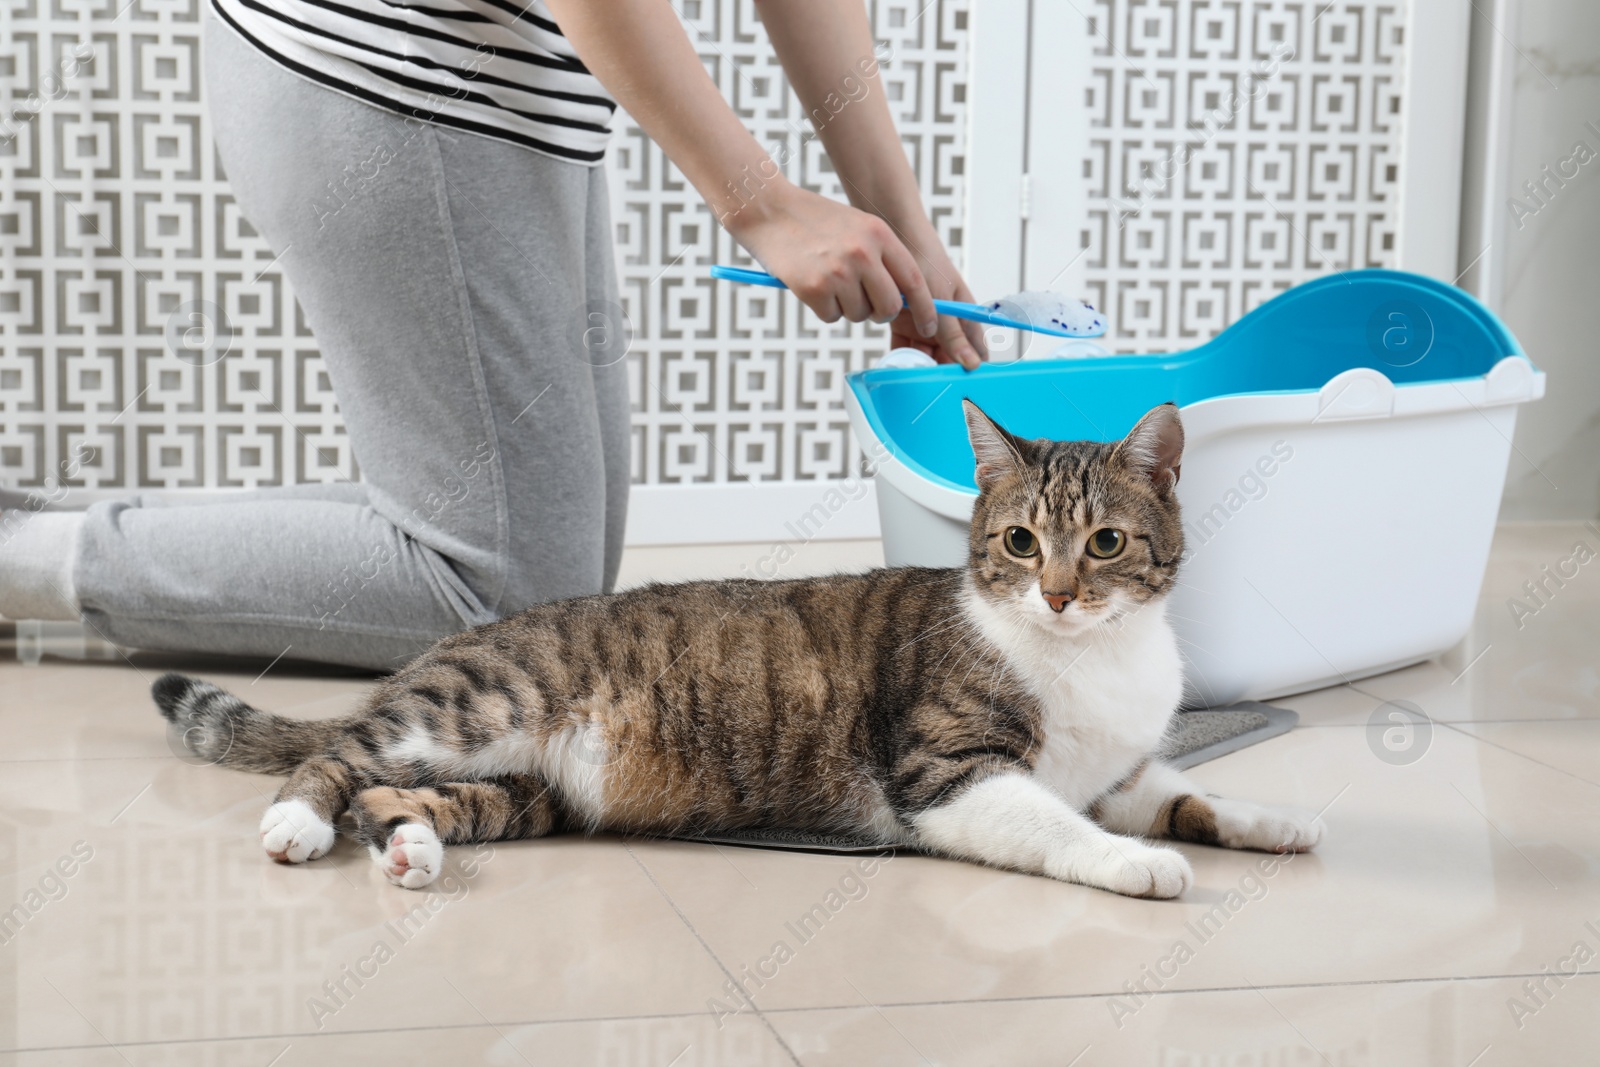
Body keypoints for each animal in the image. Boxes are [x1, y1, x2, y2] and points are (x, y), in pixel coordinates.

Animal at [150, 398, 1324, 895]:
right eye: (1021, 541)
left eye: (1107, 542)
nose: (1062, 592)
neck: (1089, 661)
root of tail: (451, 641)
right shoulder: (949, 775)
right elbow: (1060, 826)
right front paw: (1138, 862)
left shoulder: (1119, 766)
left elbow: (1184, 789)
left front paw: (1275, 820)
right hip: (472, 706)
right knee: (337, 760)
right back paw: (298, 822)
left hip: (519, 791)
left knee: (397, 799)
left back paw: (411, 851)